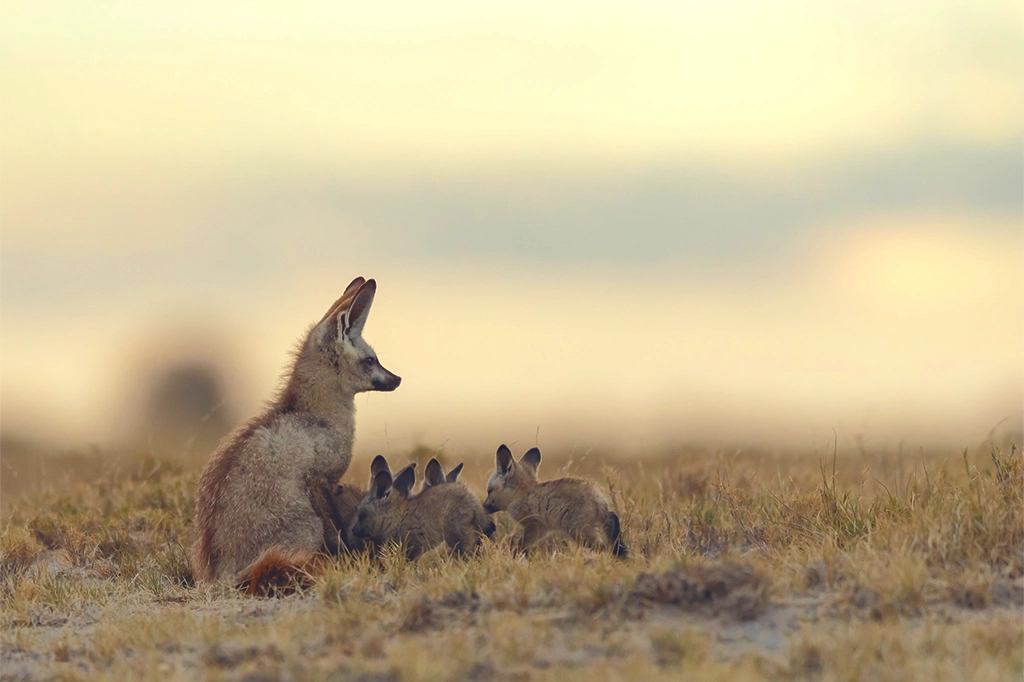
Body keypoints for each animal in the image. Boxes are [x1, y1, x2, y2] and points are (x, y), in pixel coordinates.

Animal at [191, 276, 401, 593]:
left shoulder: (329, 484)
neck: (315, 415)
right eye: (370, 361)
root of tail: (217, 577)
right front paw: (348, 559)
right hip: (308, 525)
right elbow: (338, 531)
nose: (398, 379)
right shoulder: (320, 482)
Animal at [351, 455, 495, 559]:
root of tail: (472, 500)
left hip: (457, 537)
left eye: (361, 515)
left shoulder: (414, 547)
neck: (396, 518)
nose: (353, 530)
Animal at [483, 444, 628, 558]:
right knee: (612, 521)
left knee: (602, 547)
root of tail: (597, 496)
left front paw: (515, 557)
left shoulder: (533, 525)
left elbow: (522, 546)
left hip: (578, 532)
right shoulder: (542, 529)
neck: (523, 493)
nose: (483, 507)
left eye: (489, 491)